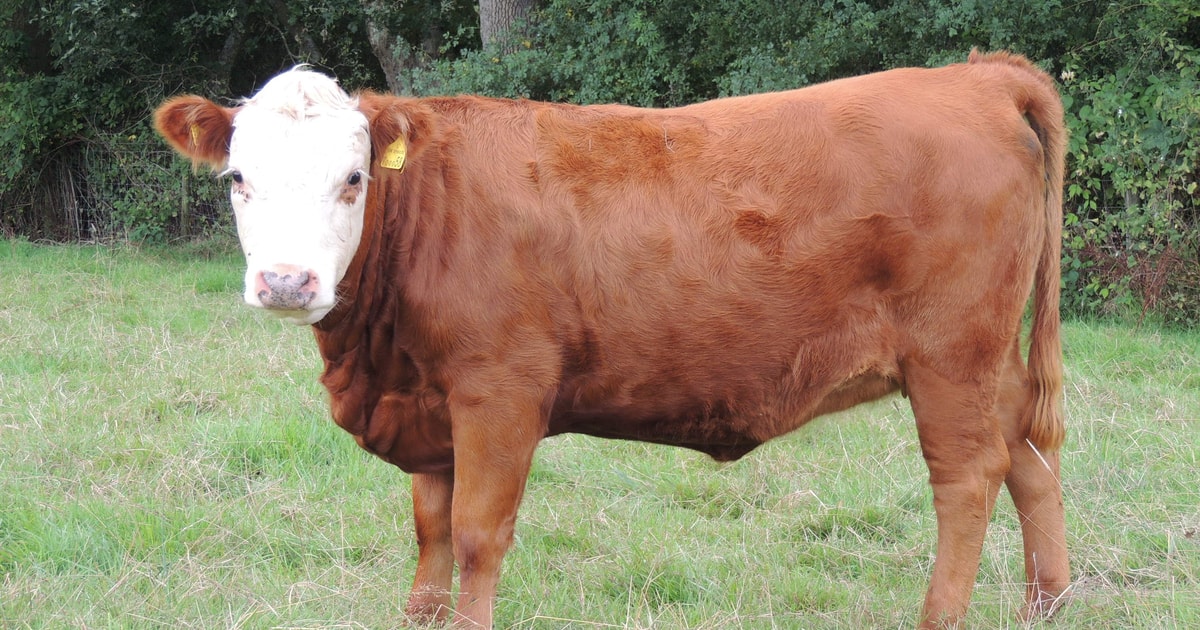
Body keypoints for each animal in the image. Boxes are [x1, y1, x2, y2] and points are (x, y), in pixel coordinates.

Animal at [154, 49, 1069, 628]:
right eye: (238, 178)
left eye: (352, 179)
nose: (286, 282)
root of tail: (977, 75)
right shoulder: (428, 404)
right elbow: (431, 531)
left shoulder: (498, 392)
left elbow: (478, 536)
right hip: (987, 368)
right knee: (1028, 460)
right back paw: (1049, 604)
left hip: (951, 357)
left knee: (969, 479)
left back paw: (942, 618)